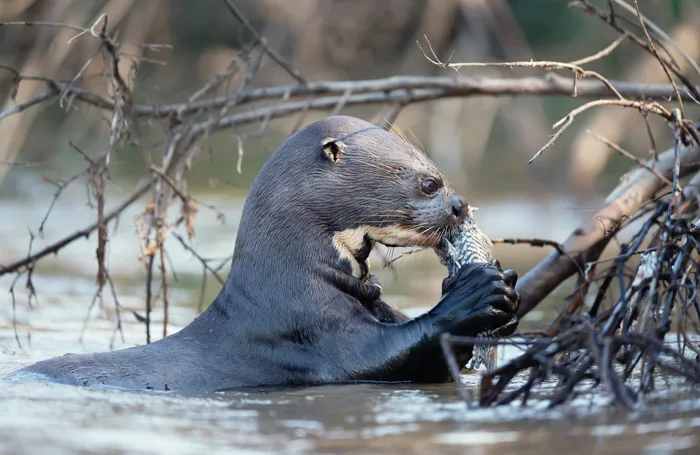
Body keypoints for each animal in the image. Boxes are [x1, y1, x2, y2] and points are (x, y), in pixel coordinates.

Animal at [5, 116, 520, 394]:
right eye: (428, 182)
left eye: (438, 171)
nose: (460, 205)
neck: (290, 285)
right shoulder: (312, 329)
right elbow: (390, 353)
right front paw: (475, 294)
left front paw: (505, 293)